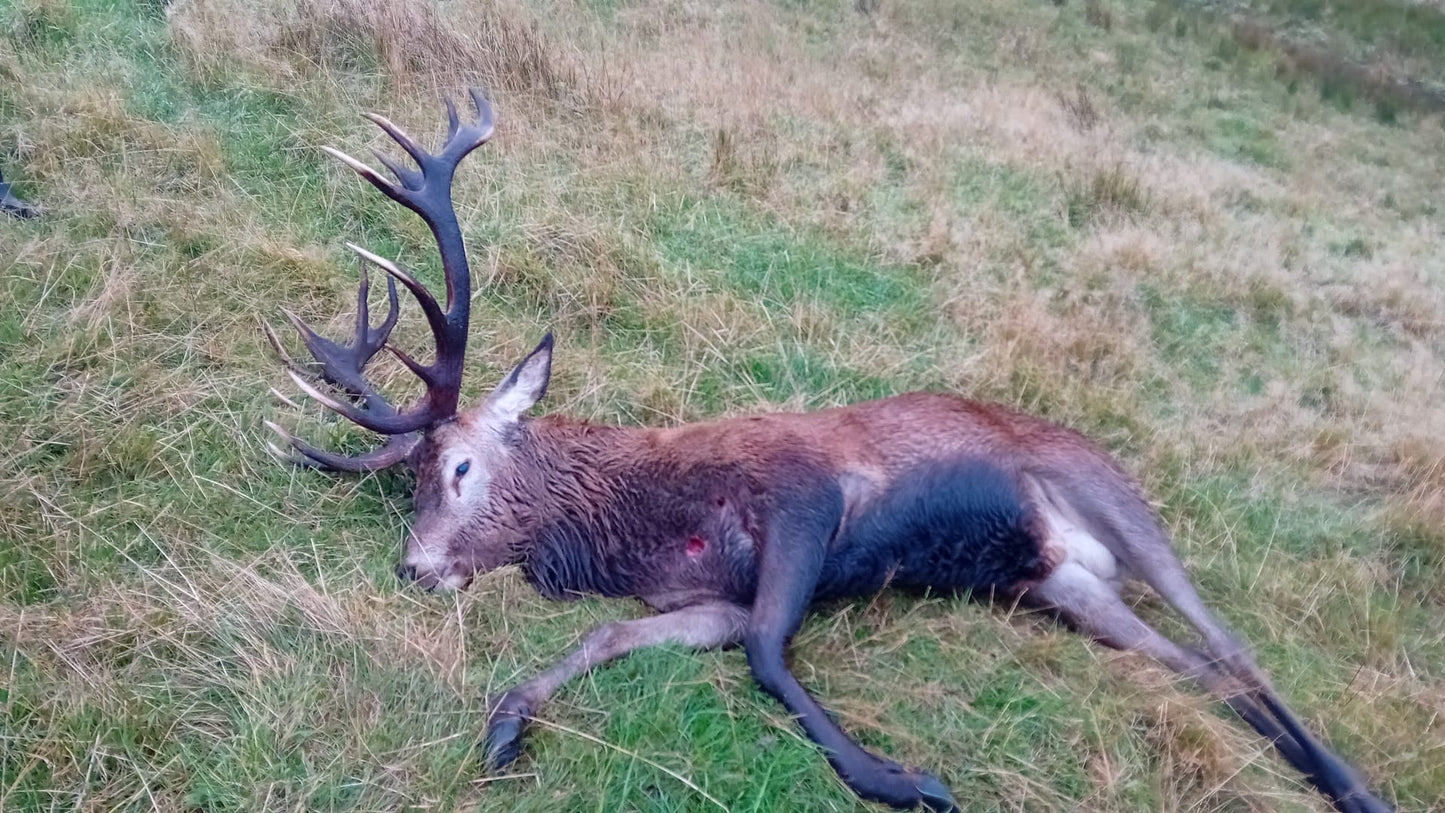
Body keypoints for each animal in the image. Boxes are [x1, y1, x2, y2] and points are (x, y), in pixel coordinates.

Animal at [265, 89, 1392, 813]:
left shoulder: (805, 498)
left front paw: (905, 779)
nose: (414, 566)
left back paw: (1357, 788)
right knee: (1202, 674)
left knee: (1235, 650)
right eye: (411, 483)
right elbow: (608, 637)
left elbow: (771, 655)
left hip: (1115, 502)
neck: (649, 525)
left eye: (455, 467)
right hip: (1065, 588)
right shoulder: (711, 597)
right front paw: (507, 724)